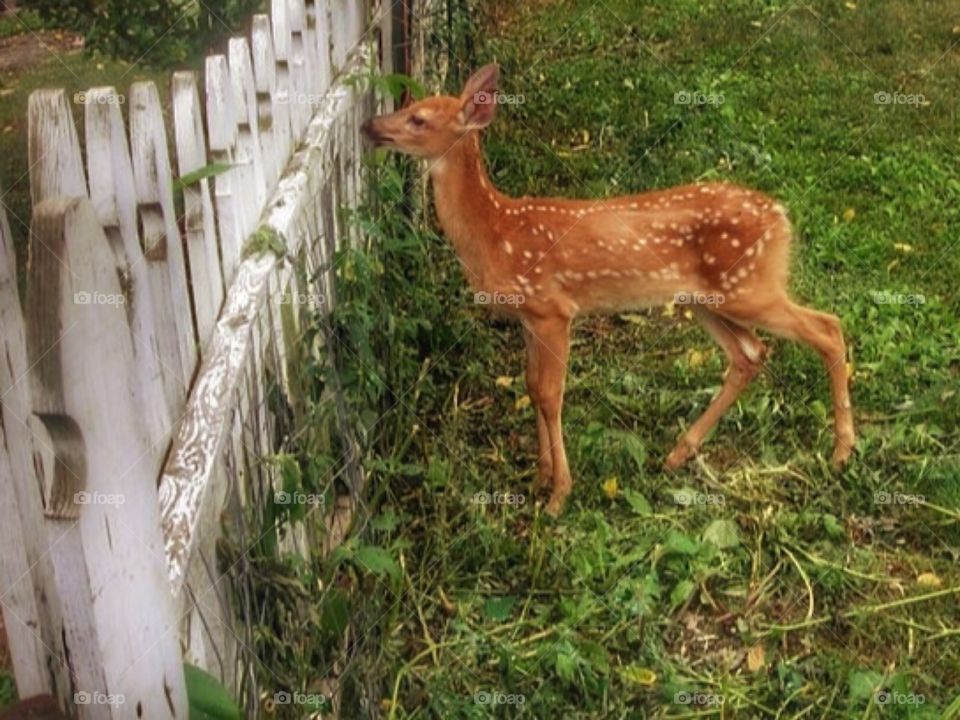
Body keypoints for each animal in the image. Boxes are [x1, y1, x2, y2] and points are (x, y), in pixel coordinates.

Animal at [361, 64, 855, 516]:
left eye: (418, 118)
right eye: (407, 105)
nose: (369, 127)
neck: (496, 232)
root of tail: (781, 216)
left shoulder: (554, 309)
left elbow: (550, 395)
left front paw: (558, 495)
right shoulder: (528, 318)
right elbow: (532, 386)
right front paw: (540, 477)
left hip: (751, 285)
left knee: (827, 328)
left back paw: (841, 452)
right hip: (708, 298)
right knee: (750, 354)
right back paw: (678, 453)